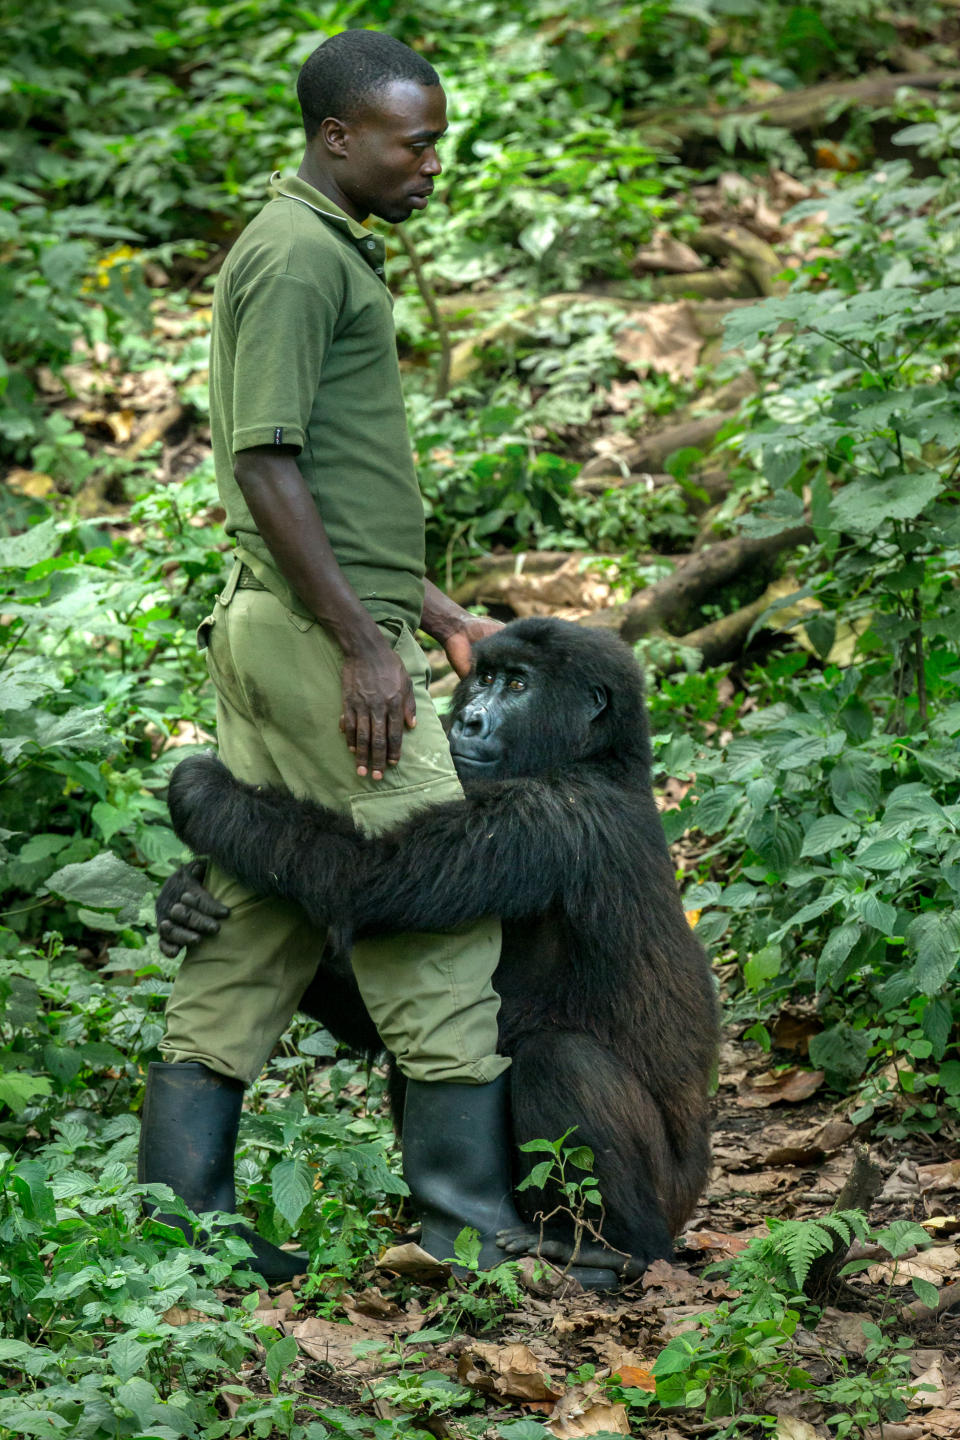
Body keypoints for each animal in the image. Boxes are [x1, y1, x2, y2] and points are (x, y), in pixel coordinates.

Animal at [161, 619, 716, 1284]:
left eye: (518, 686)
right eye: (484, 677)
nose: (469, 720)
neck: (598, 759)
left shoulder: (547, 815)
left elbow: (364, 880)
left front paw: (208, 797)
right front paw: (178, 905)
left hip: (671, 1200)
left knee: (561, 1060)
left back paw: (613, 1248)